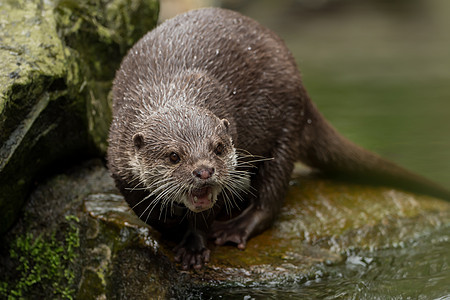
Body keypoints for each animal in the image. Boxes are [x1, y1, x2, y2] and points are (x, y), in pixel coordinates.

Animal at [108, 7, 450, 270]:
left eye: (218, 148)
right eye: (173, 156)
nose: (204, 171)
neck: (170, 89)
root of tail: (300, 84)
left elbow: (205, 217)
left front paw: (193, 246)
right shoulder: (119, 159)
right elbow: (144, 209)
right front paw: (170, 226)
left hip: (287, 125)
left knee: (271, 195)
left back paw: (238, 226)